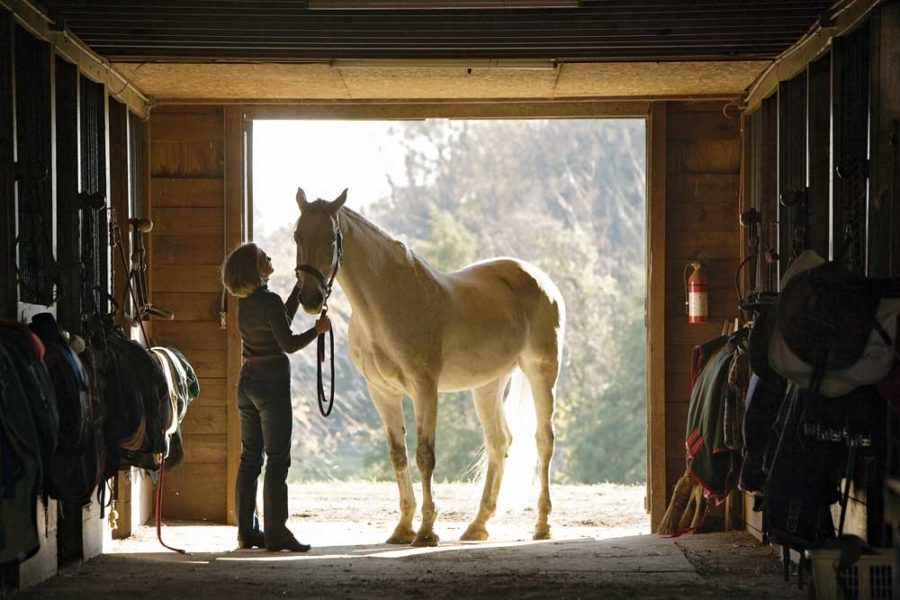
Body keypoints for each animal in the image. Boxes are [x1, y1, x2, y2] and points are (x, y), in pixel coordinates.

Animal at [292, 189, 568, 548]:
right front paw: (403, 528)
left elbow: (425, 455)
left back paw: (542, 525)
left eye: (330, 239)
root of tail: (542, 280)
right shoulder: (382, 392)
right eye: (297, 236)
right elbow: (398, 454)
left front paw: (426, 531)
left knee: (543, 440)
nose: (311, 299)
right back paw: (478, 525)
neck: (386, 303)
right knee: (499, 442)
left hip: (541, 371)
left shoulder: (424, 387)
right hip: (488, 384)